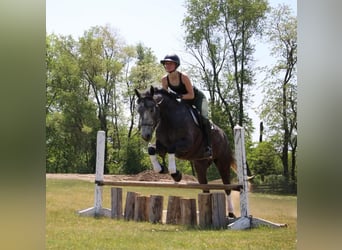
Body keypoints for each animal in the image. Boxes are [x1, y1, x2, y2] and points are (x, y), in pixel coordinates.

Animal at [134, 85, 238, 217]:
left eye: (152, 110)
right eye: (139, 111)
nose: (145, 136)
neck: (168, 118)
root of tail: (224, 135)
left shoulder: (186, 145)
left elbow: (171, 149)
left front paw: (176, 174)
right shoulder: (162, 146)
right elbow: (151, 149)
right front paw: (161, 169)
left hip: (222, 162)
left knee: (227, 186)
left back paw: (231, 213)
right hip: (200, 165)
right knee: (205, 187)